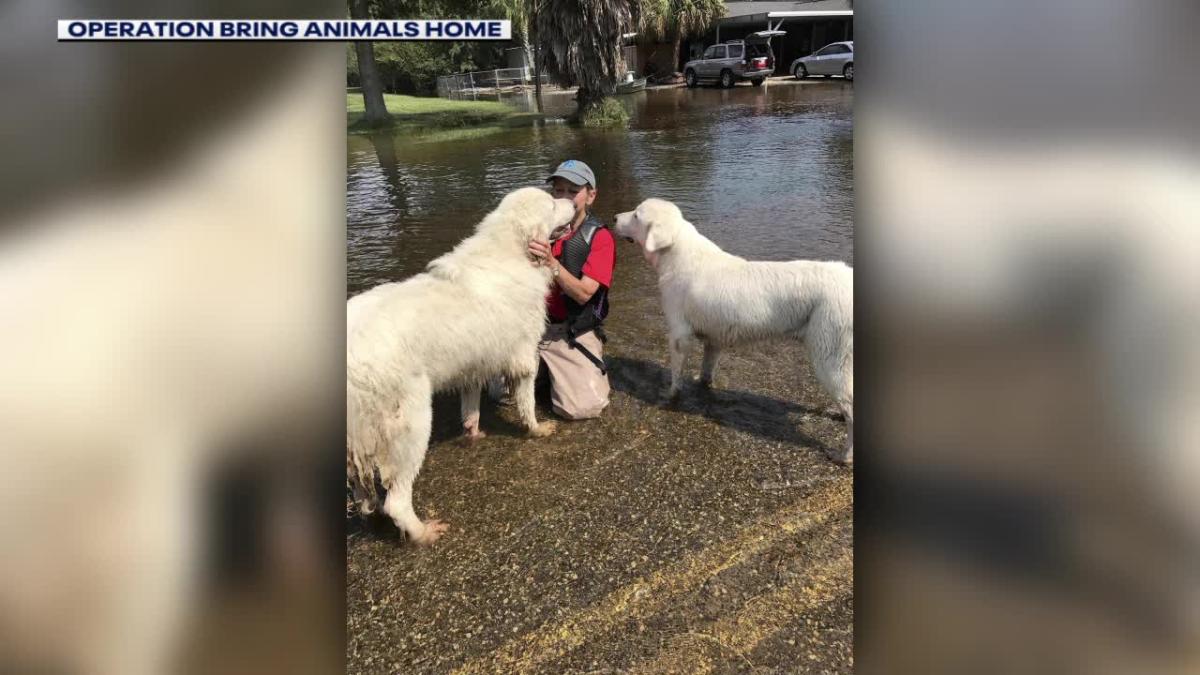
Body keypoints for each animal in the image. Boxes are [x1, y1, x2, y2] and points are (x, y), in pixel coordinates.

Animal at [348, 186, 576, 542]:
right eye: (552, 204)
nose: (574, 203)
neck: (511, 251)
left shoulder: (473, 364)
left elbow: (471, 405)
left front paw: (473, 432)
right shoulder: (525, 356)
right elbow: (526, 402)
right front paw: (537, 429)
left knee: (361, 490)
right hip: (413, 420)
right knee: (396, 500)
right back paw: (423, 533)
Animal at [614, 196, 859, 461]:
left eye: (636, 215)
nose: (614, 218)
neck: (676, 252)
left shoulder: (679, 335)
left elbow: (676, 375)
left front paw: (669, 395)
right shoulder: (713, 340)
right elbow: (706, 370)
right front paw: (703, 385)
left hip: (830, 357)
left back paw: (844, 456)